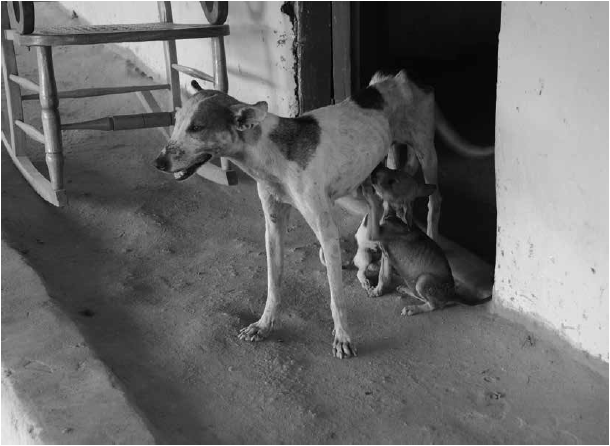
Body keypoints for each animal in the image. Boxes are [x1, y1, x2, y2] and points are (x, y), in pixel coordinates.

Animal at [151, 80, 390, 358]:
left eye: (197, 128)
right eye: (176, 121)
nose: (157, 163)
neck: (269, 154)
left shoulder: (326, 229)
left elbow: (336, 297)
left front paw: (342, 336)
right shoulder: (273, 226)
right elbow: (273, 284)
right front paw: (264, 325)